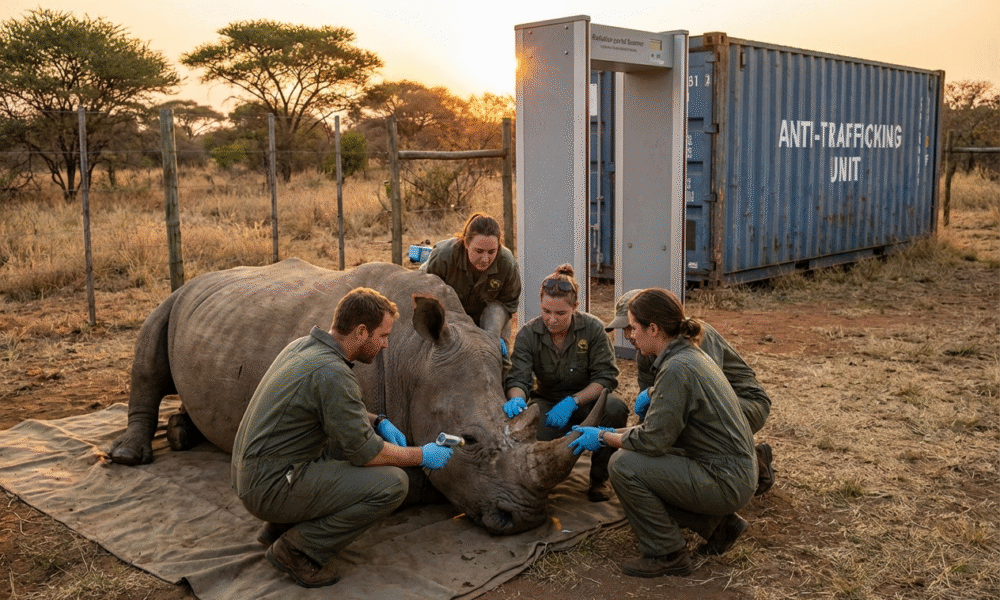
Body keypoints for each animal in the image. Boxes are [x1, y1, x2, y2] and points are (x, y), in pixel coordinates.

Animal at [108, 258, 604, 535]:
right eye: (470, 441)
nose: (525, 519)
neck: (414, 356)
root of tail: (202, 277)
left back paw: (180, 434)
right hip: (176, 296)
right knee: (149, 346)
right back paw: (129, 457)